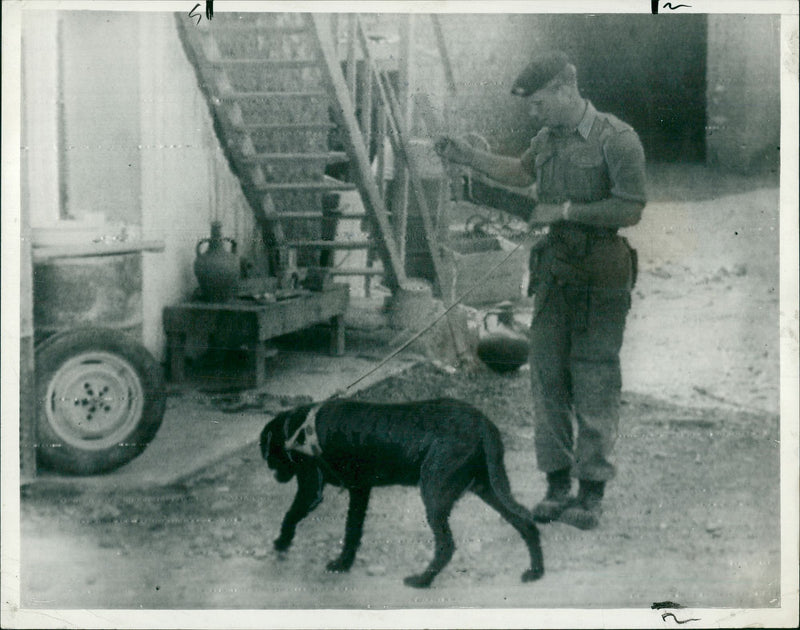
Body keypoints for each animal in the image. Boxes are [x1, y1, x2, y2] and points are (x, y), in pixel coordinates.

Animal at [260, 400, 544, 588]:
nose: (274, 475)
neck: (297, 427)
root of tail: (484, 425)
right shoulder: (359, 490)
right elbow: (352, 531)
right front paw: (344, 564)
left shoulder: (311, 489)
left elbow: (290, 516)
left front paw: (281, 543)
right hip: (490, 488)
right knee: (525, 521)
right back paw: (536, 571)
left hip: (434, 494)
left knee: (446, 545)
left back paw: (423, 579)